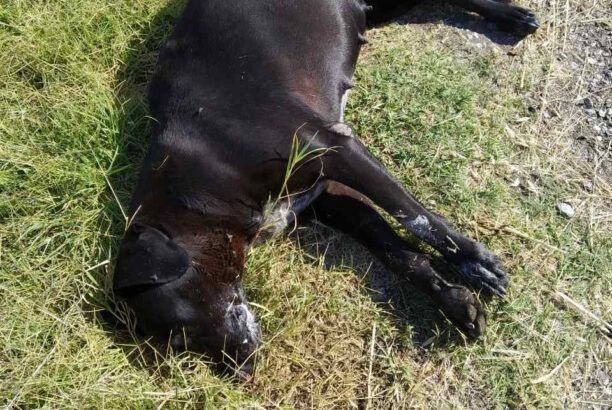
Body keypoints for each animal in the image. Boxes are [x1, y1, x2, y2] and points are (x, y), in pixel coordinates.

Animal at [113, 0, 539, 378]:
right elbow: (399, 254)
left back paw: (511, 15)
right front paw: (454, 302)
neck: (202, 167)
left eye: (182, 330)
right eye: (179, 346)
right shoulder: (330, 196)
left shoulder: (337, 150)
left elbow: (416, 218)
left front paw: (476, 262)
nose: (243, 372)